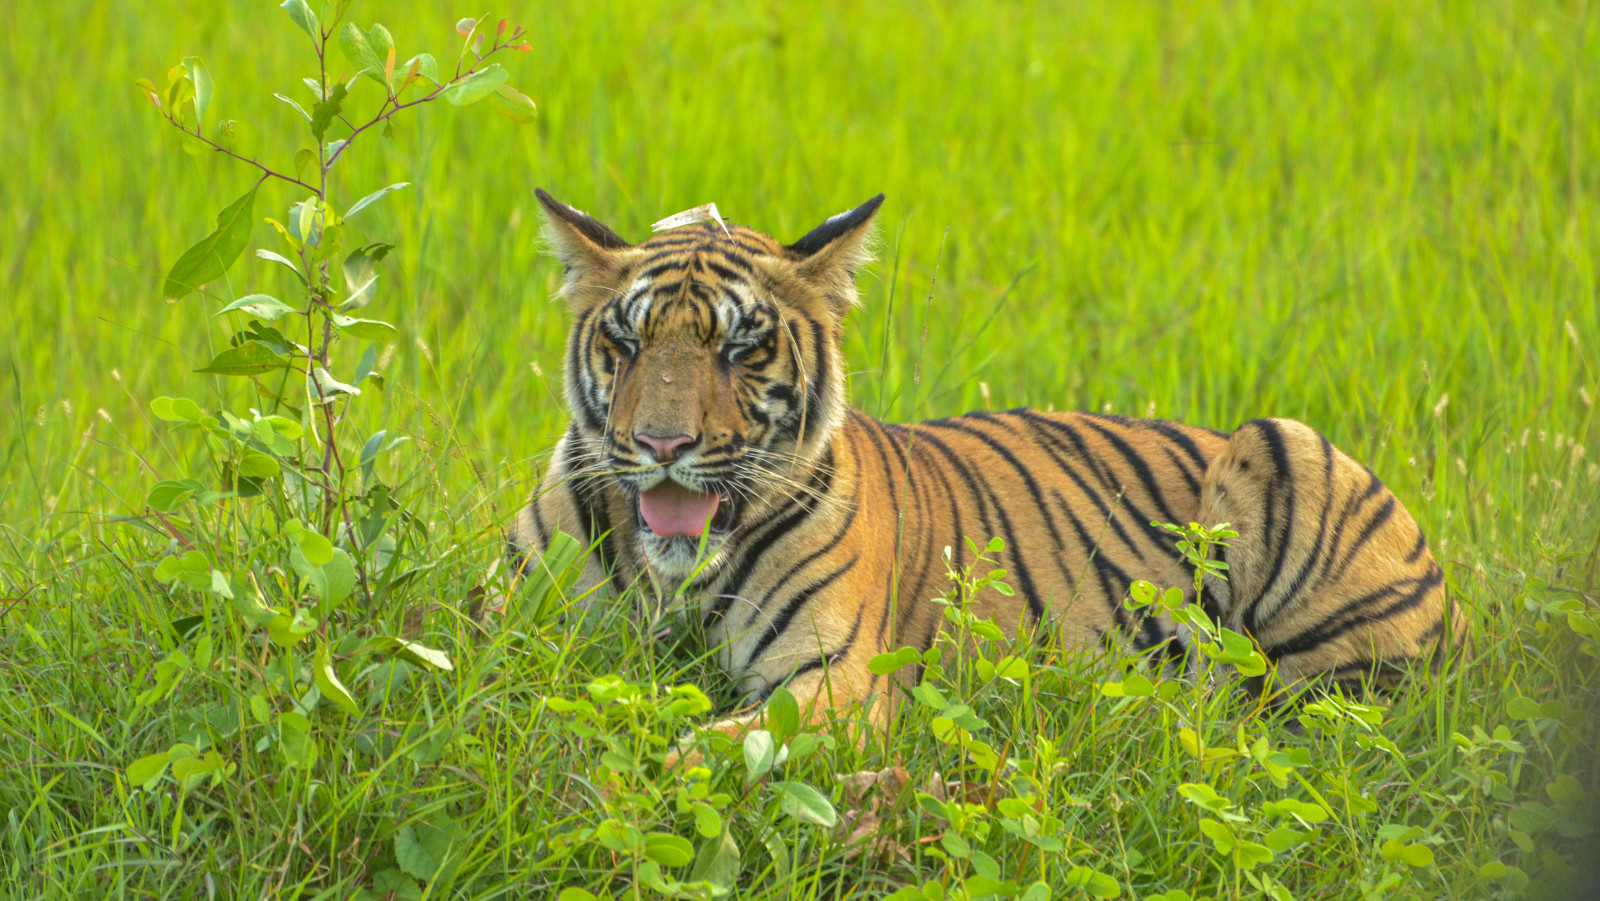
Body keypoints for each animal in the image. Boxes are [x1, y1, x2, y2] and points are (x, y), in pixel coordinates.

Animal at [508, 187, 1465, 752]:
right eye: (628, 342)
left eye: (740, 350)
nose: (662, 445)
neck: (668, 576)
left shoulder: (832, 678)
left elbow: (708, 743)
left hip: (1283, 447)